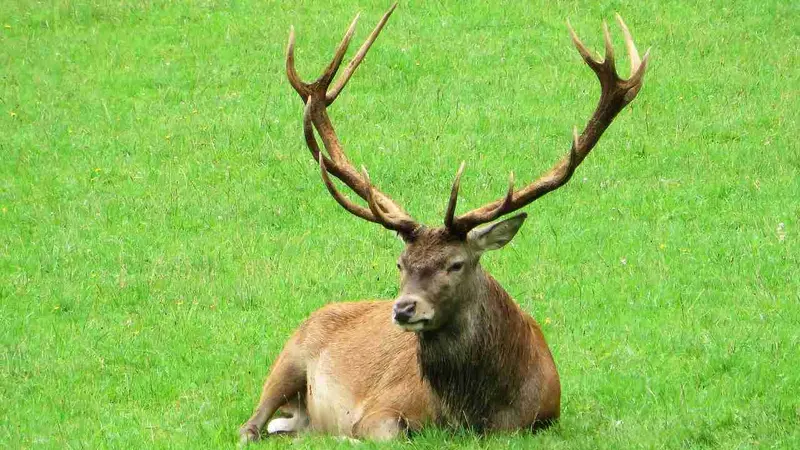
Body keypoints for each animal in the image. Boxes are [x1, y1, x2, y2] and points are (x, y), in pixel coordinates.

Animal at [240, 3, 649, 443]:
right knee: (250, 426)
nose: (403, 308)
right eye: (401, 263)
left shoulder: (543, 418)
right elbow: (381, 433)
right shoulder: (378, 409)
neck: (468, 415)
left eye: (456, 263)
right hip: (290, 355)